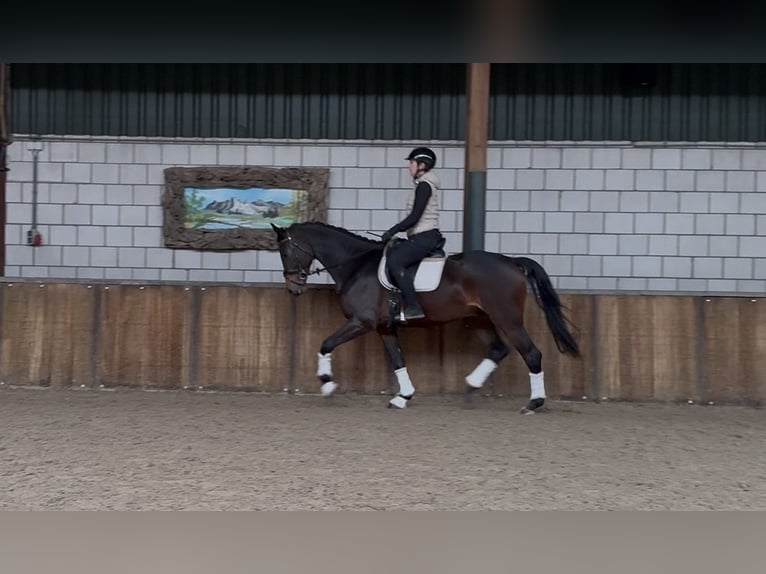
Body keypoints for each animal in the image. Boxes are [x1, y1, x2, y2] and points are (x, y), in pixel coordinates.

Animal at [270, 221, 581, 414]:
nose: (293, 287)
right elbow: (398, 361)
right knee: (498, 350)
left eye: (285, 251)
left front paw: (327, 384)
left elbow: (325, 344)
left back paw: (533, 403)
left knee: (531, 353)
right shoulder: (384, 328)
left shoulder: (361, 322)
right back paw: (471, 387)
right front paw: (402, 397)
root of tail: (512, 262)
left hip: (507, 319)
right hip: (478, 319)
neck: (356, 266)